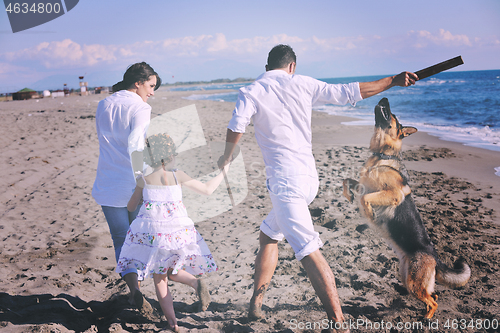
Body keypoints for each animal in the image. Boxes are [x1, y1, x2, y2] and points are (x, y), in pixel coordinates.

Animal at [342, 97, 470, 318]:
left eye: (393, 115)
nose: (384, 98)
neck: (382, 155)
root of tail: (434, 256)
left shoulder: (392, 195)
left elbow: (365, 198)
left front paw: (369, 213)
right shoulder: (362, 184)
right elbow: (347, 182)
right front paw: (348, 195)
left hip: (413, 283)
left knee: (433, 301)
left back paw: (426, 319)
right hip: (407, 279)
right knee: (434, 295)